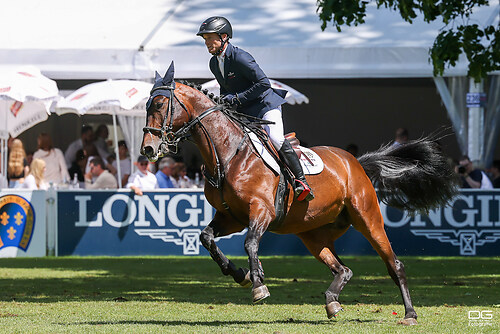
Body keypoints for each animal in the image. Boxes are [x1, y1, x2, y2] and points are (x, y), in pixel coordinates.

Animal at [140, 66, 458, 324]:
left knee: (395, 265)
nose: (148, 149)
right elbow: (207, 238)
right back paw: (332, 303)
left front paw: (258, 284)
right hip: (313, 234)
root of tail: (355, 162)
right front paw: (242, 275)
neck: (227, 153)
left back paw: (410, 314)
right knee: (343, 269)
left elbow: (251, 243)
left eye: (160, 103)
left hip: (367, 219)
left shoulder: (261, 211)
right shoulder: (231, 216)